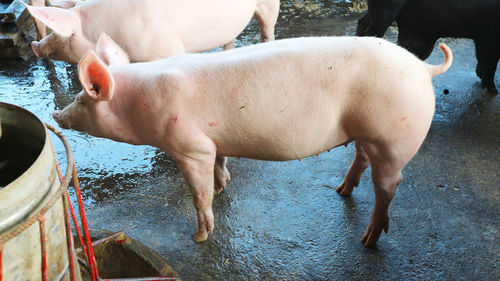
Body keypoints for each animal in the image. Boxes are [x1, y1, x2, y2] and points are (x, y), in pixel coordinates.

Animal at [53, 33, 454, 245]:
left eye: (83, 99)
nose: (56, 114)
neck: (138, 105)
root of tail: (424, 68)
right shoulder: (212, 140)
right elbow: (220, 163)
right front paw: (223, 186)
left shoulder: (189, 146)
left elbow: (197, 194)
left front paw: (199, 237)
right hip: (369, 133)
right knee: (362, 158)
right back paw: (341, 191)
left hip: (394, 136)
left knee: (389, 184)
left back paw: (369, 239)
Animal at [358, 0, 498, 93]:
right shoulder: (491, 33)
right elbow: (492, 61)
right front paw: (493, 90)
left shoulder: (481, 36)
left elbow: (481, 56)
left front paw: (481, 77)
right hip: (385, 10)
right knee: (371, 32)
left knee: (362, 23)